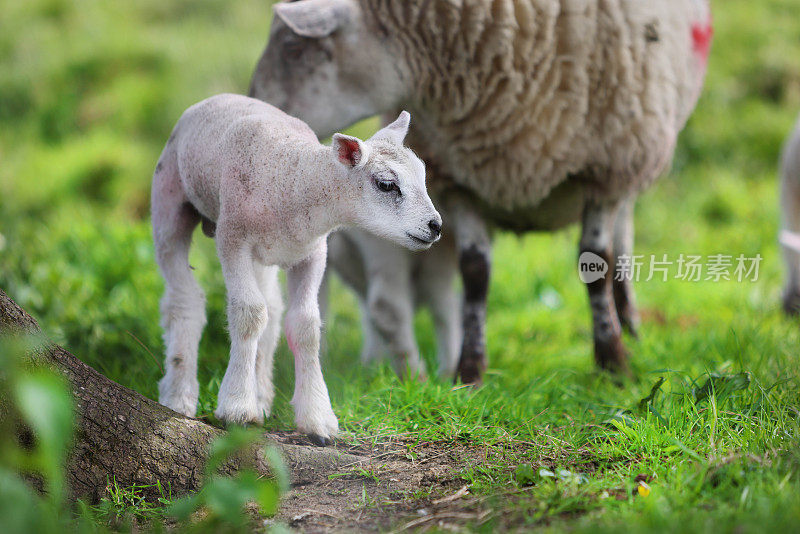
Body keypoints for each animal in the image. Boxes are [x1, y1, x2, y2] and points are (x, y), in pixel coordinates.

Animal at [147, 94, 440, 446]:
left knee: (272, 309)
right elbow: (248, 314)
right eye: (386, 184)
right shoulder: (233, 240)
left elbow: (306, 325)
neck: (294, 179)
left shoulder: (313, 253)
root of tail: (216, 98)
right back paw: (179, 394)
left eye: (423, 176)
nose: (436, 226)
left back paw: (261, 393)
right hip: (169, 197)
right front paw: (237, 406)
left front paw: (317, 418)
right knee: (185, 299)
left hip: (264, 256)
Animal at [252, 0, 712, 386]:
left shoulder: (607, 169)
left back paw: (629, 321)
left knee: (623, 233)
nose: (255, 107)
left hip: (635, 152)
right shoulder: (459, 179)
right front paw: (469, 371)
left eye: (293, 48)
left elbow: (596, 262)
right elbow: (474, 272)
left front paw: (613, 362)